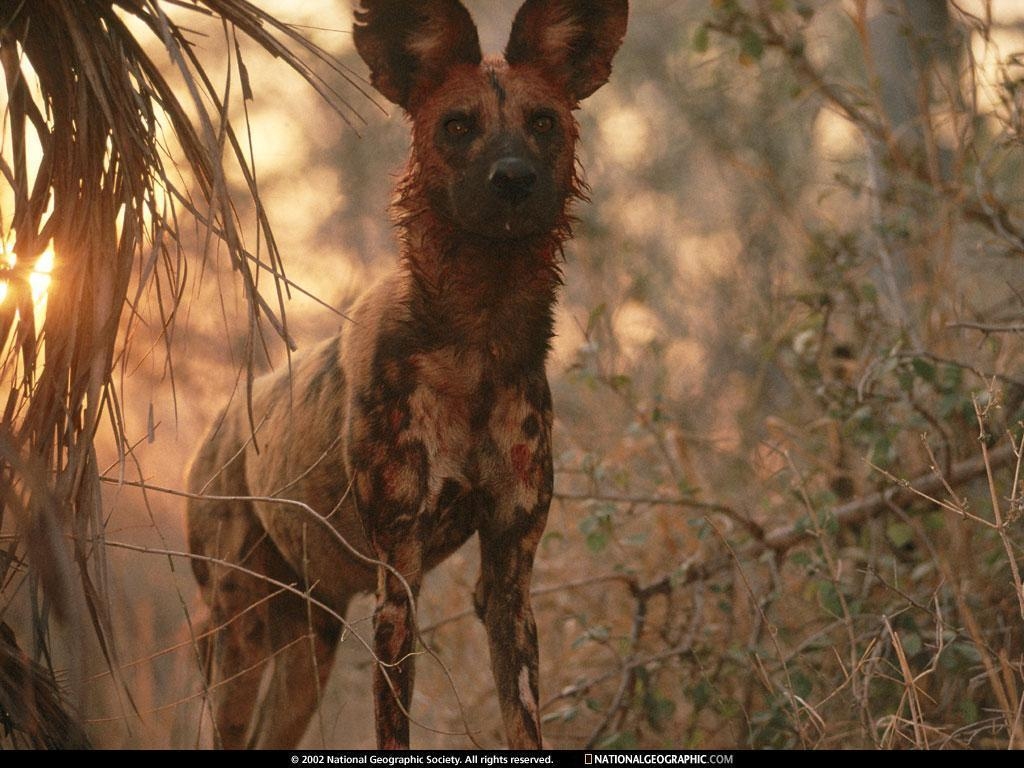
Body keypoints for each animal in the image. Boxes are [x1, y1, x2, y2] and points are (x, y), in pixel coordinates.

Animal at [188, 0, 626, 753]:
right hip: (239, 644)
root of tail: (215, 428)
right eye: (457, 126)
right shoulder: (399, 586)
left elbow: (523, 721)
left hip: (311, 646)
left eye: (544, 122)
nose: (514, 179)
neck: (478, 343)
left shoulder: (509, 582)